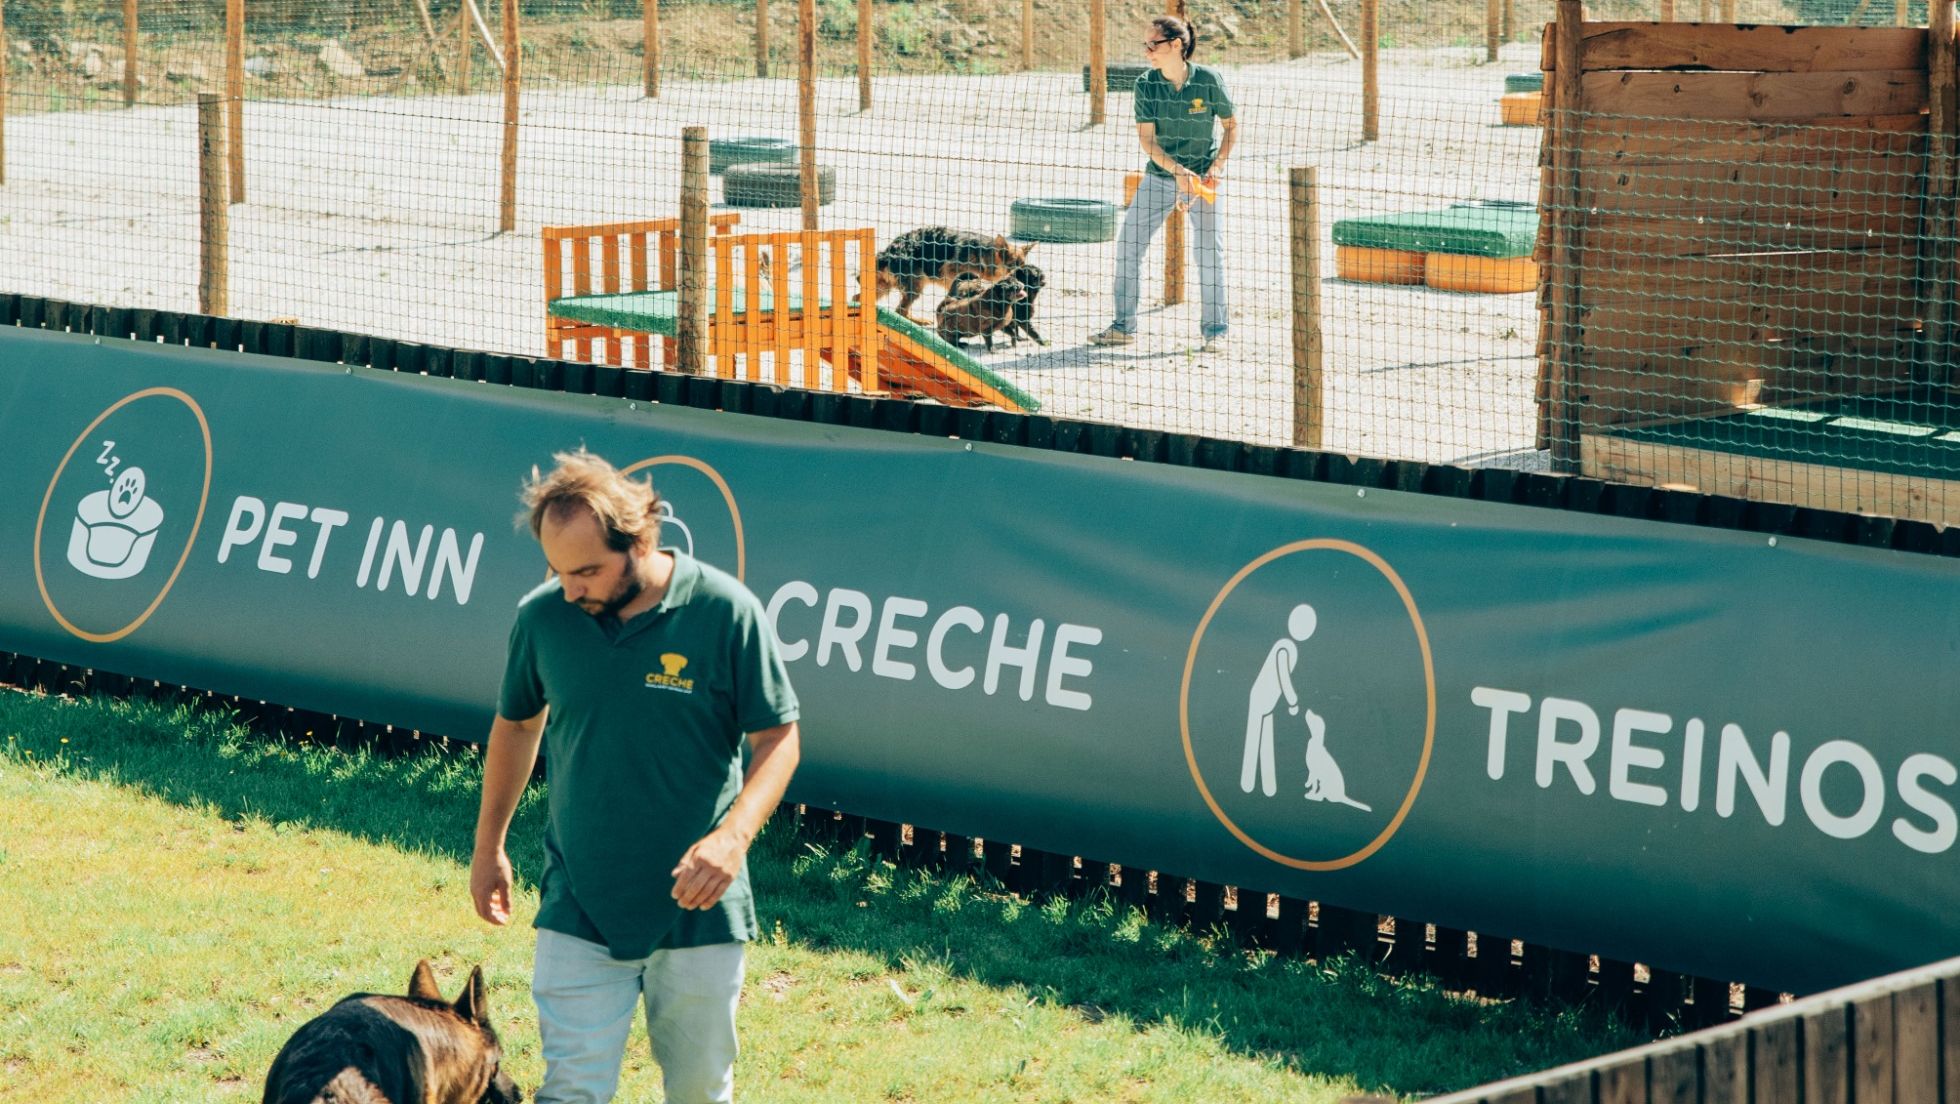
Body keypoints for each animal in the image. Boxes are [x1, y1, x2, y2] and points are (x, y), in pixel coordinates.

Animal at [870, 226, 1034, 321]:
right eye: (1011, 267)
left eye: (1022, 267)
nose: (1022, 284)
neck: (983, 256)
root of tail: (888, 252)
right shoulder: (952, 274)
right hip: (915, 286)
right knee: (900, 311)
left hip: (883, 288)